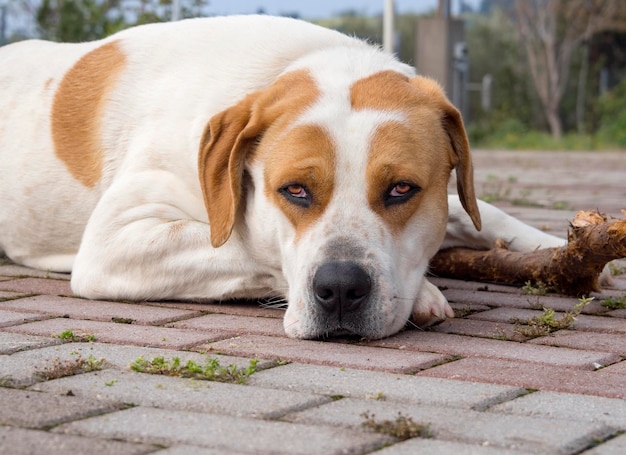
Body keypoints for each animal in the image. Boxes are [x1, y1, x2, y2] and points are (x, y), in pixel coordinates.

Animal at [0, 15, 564, 338]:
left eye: (402, 189)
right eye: (294, 190)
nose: (342, 289)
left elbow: (479, 214)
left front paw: (557, 248)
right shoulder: (116, 240)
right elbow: (249, 244)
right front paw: (424, 293)